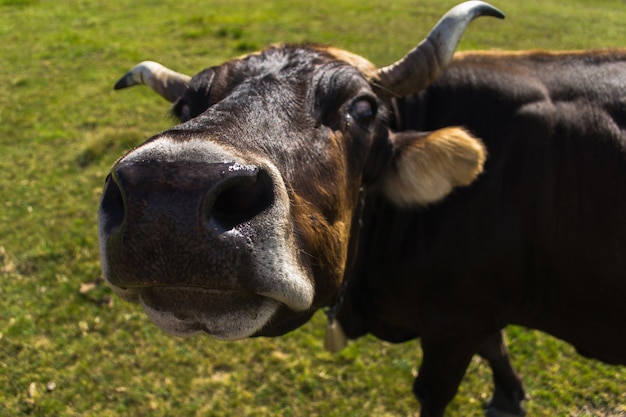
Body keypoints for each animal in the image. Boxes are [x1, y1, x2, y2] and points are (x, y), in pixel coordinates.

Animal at [96, 1, 624, 414]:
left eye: (363, 109)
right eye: (185, 106)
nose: (173, 195)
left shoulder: (453, 327)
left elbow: (435, 391)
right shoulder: (477, 309)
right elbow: (495, 345)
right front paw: (509, 395)